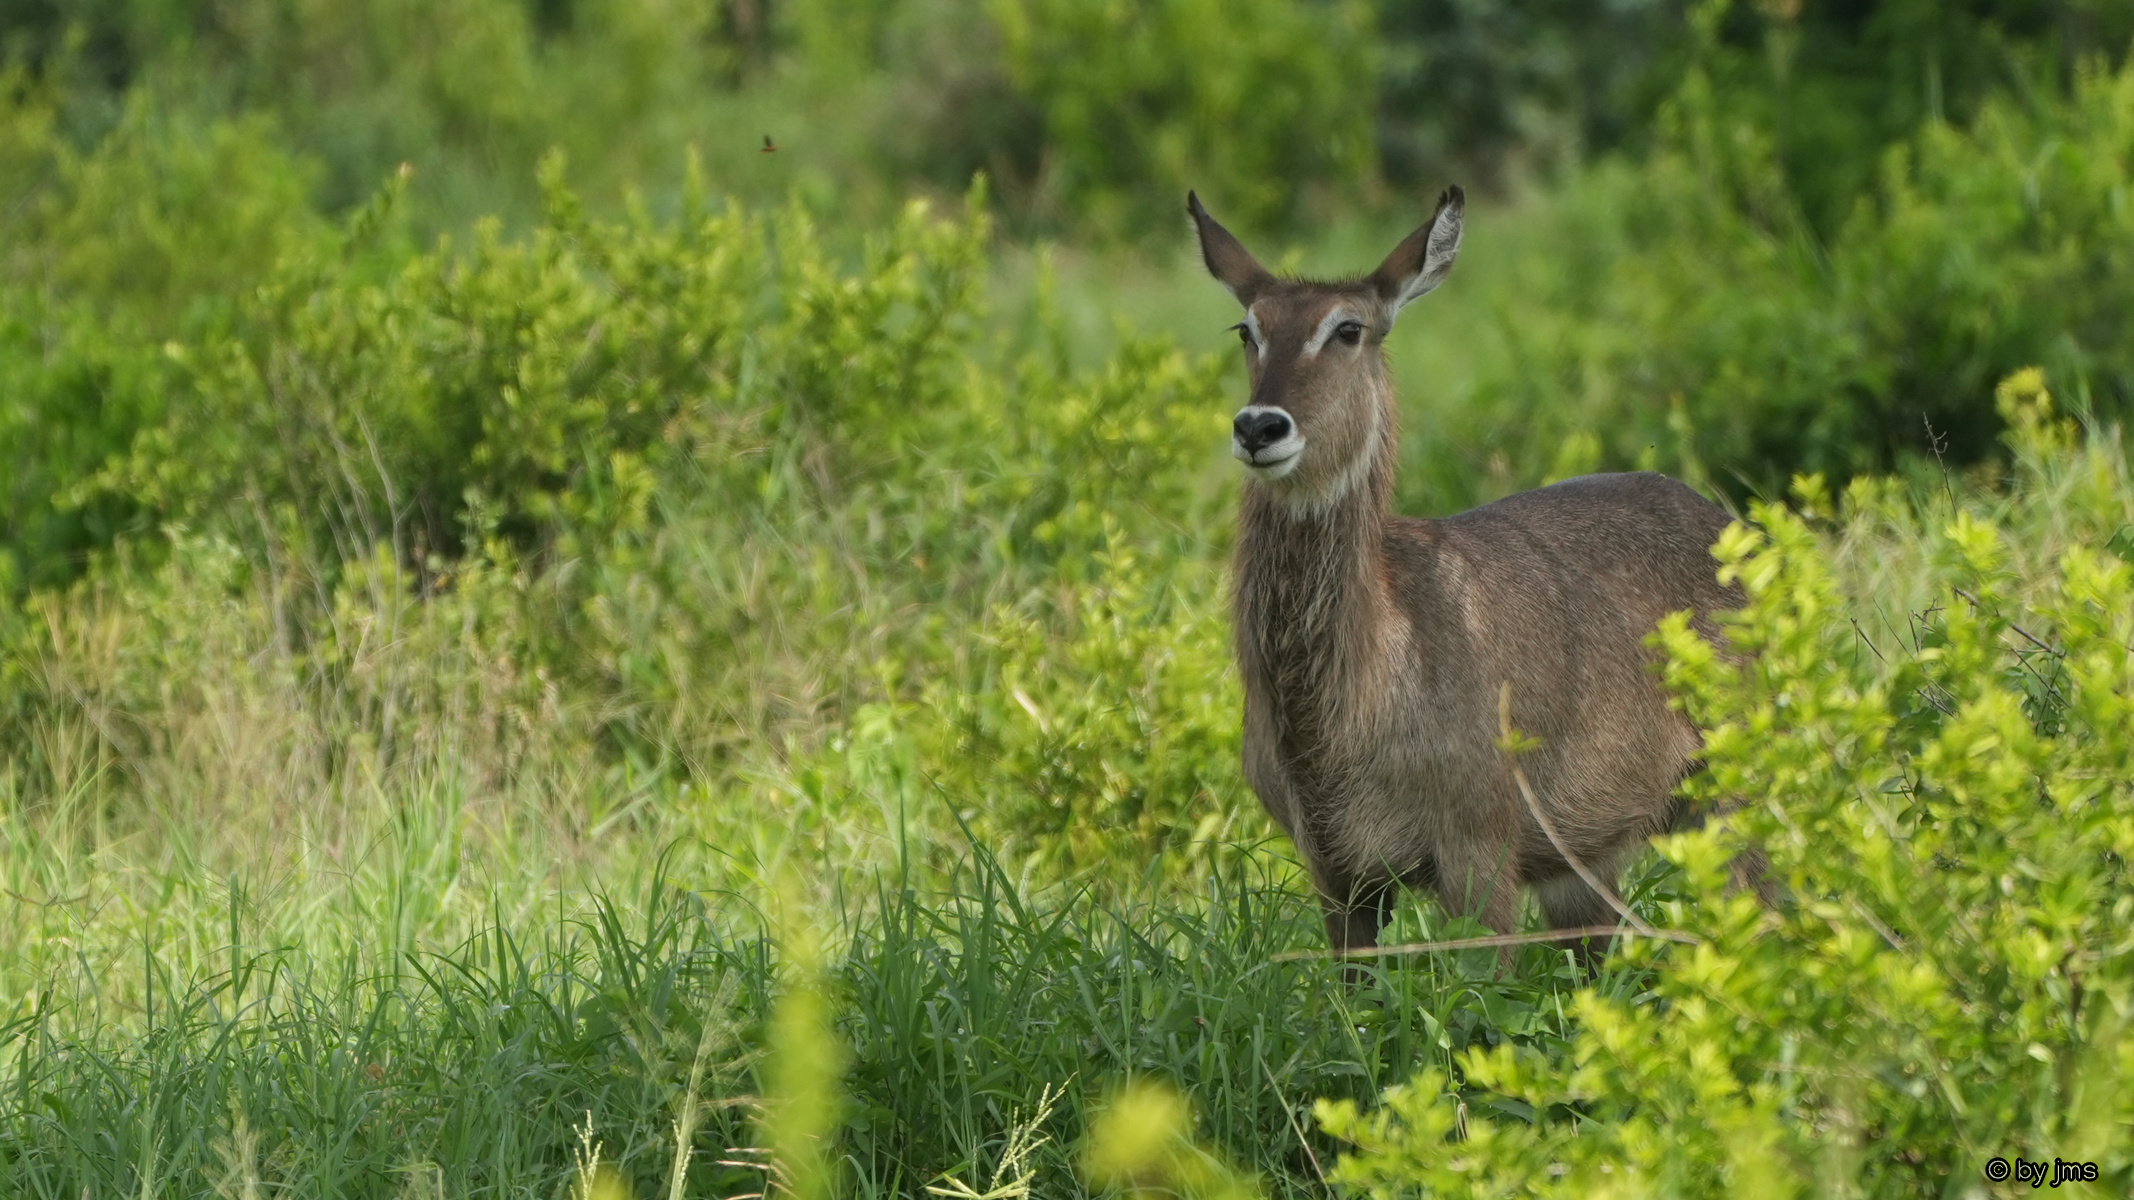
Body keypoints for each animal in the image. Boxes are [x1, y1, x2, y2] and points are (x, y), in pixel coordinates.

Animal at [1188, 186, 1744, 965]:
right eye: (1247, 327)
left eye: (1348, 329)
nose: (1260, 427)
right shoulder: (1336, 874)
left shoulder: (1480, 852)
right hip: (1584, 864)